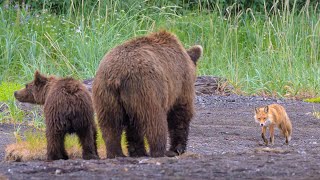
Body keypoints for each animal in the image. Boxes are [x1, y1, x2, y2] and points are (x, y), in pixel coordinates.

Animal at [93, 29, 202, 158]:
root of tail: (117, 75)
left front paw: (136, 150)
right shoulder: (181, 83)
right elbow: (180, 112)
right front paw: (176, 148)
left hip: (106, 94)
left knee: (111, 124)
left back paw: (117, 153)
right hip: (146, 88)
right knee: (154, 120)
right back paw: (159, 151)